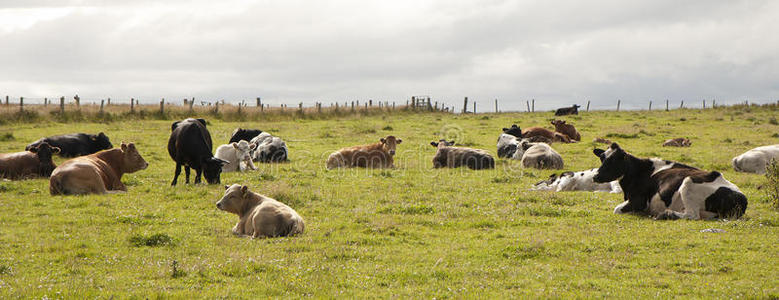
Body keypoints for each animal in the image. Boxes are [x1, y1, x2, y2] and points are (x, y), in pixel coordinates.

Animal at [592, 143, 748, 220]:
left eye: (613, 160)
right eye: (602, 158)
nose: (595, 176)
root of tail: (741, 196)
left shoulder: (639, 201)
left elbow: (616, 209)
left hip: (688, 182)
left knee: (692, 215)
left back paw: (666, 214)